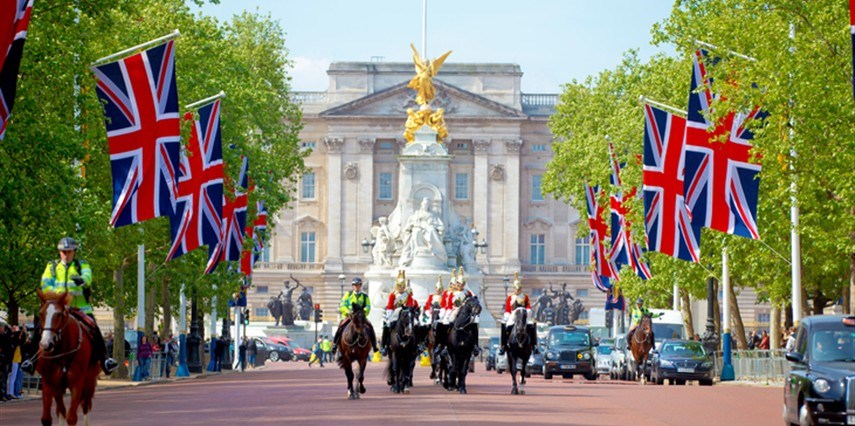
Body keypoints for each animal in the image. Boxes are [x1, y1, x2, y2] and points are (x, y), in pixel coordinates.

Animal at [36, 288, 102, 424]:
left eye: (59, 314)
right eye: (41, 313)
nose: (45, 344)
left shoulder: (77, 384)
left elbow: (71, 417)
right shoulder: (50, 383)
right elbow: (48, 418)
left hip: (89, 382)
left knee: (85, 406)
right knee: (60, 411)